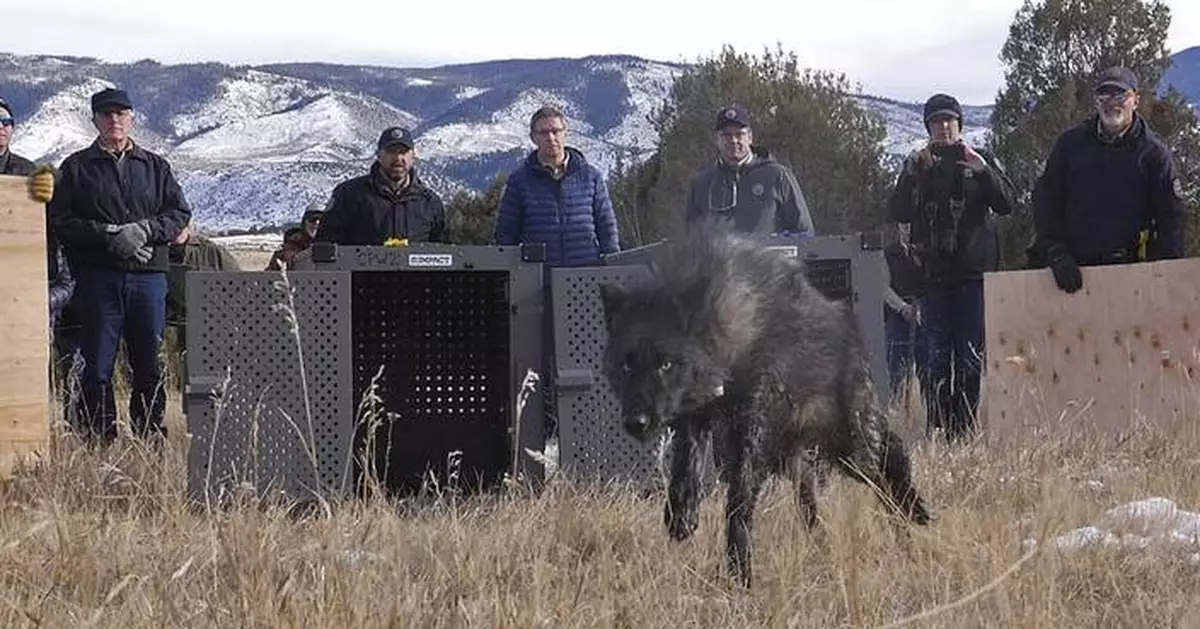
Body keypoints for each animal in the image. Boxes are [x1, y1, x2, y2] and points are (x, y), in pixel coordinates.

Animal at [597, 218, 926, 588]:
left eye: (665, 363)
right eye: (626, 365)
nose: (635, 423)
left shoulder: (750, 431)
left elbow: (738, 502)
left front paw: (740, 571)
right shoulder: (695, 420)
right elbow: (685, 467)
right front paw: (681, 515)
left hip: (852, 450)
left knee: (890, 463)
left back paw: (912, 517)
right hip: (798, 460)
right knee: (813, 503)